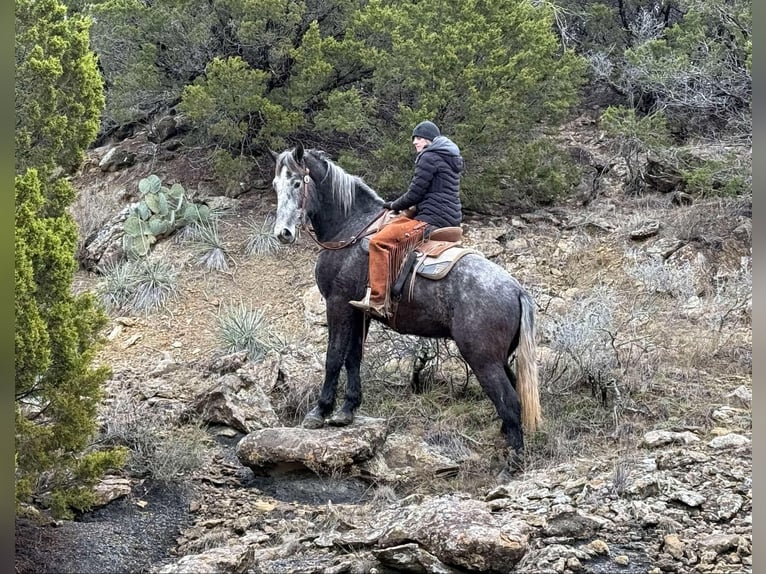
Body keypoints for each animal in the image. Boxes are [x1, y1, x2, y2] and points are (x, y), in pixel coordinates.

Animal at [270, 143, 541, 465]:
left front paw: (320, 411)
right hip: (498, 359)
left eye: (297, 183)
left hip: (482, 359)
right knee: (513, 396)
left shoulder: (338, 304)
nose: (283, 233)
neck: (351, 229)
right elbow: (353, 357)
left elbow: (334, 356)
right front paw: (347, 410)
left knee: (510, 402)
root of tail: (517, 291)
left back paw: (511, 464)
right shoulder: (359, 313)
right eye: (275, 185)